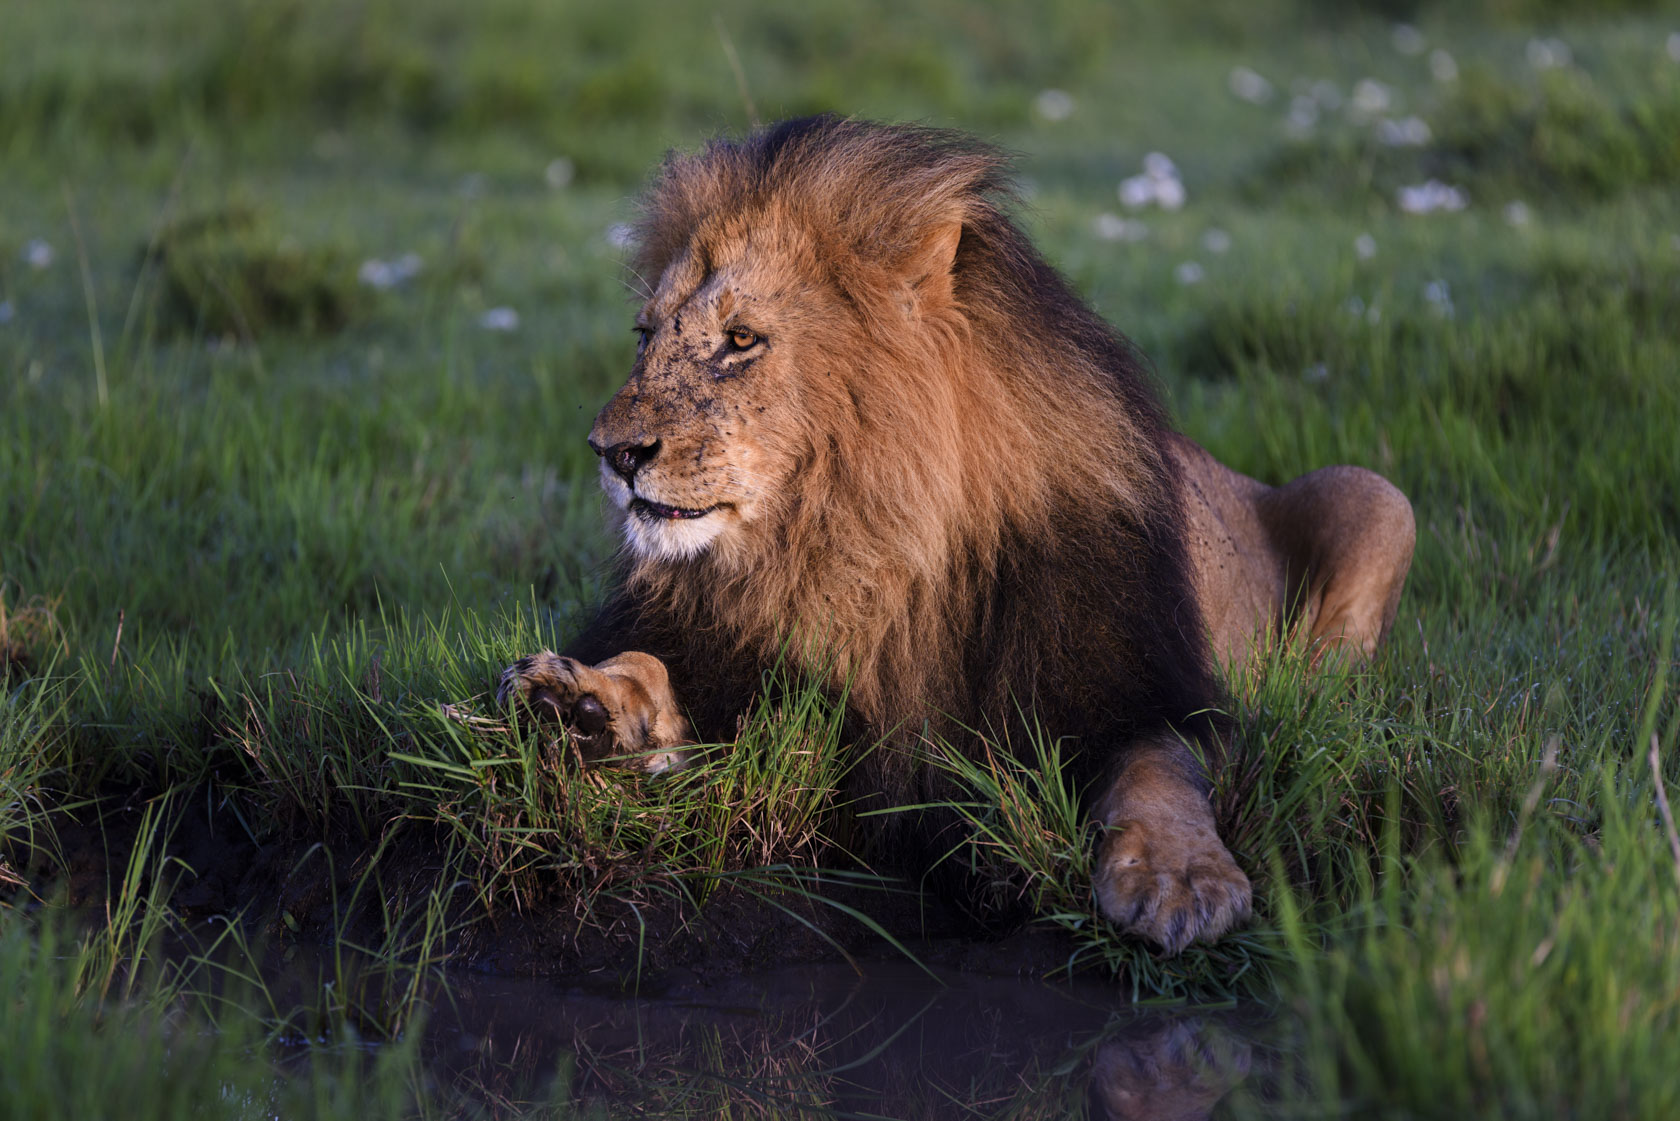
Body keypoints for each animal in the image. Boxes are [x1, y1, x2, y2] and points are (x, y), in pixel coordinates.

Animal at [490, 115, 1411, 954]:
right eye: (646, 335)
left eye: (741, 339)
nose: (611, 452)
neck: (855, 546)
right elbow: (655, 668)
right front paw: (582, 703)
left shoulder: (1139, 686)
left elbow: (1158, 767)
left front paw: (1182, 880)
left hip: (1377, 496)